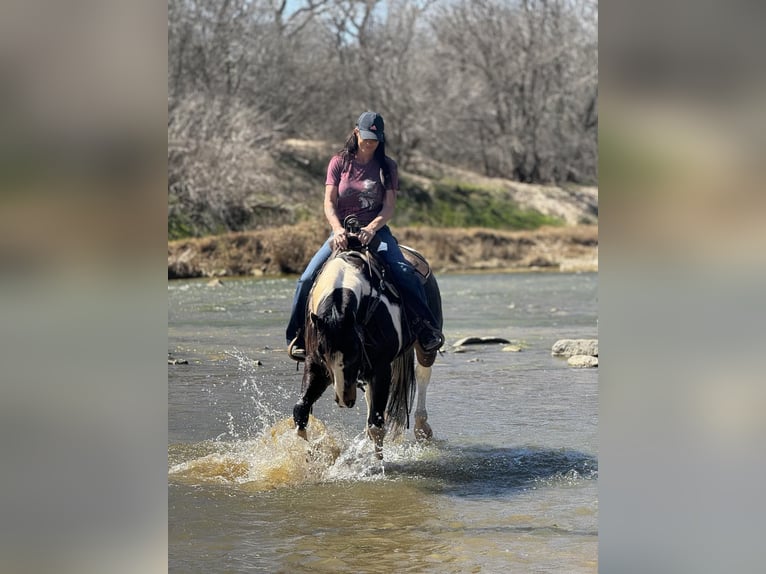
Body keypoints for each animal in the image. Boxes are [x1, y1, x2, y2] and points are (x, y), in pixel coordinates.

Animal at [292, 224, 444, 460]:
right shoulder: (316, 364)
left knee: (422, 374)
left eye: (355, 350)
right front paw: (308, 455)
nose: (344, 400)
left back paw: (422, 429)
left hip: (425, 347)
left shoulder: (380, 367)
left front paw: (377, 462)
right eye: (323, 353)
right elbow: (300, 410)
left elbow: (377, 425)